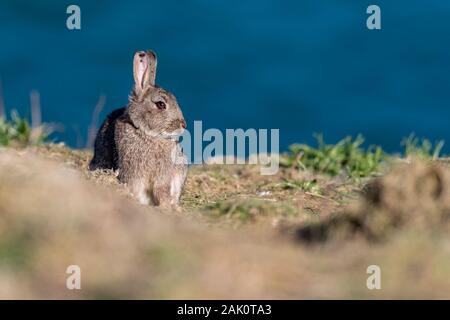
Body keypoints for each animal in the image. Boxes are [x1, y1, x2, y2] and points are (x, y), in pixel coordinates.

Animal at [89, 50, 187, 210]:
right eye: (161, 104)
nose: (183, 125)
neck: (149, 135)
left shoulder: (165, 176)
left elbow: (162, 190)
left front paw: (168, 207)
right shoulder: (134, 174)